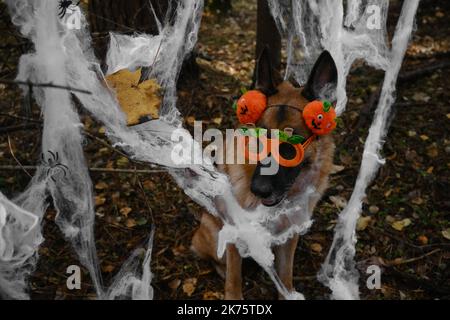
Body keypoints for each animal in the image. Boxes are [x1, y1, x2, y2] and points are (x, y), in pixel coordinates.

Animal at [191, 48, 338, 300]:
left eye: (291, 147)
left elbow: (286, 277)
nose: (258, 190)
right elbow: (234, 279)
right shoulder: (234, 233)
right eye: (259, 140)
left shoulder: (289, 237)